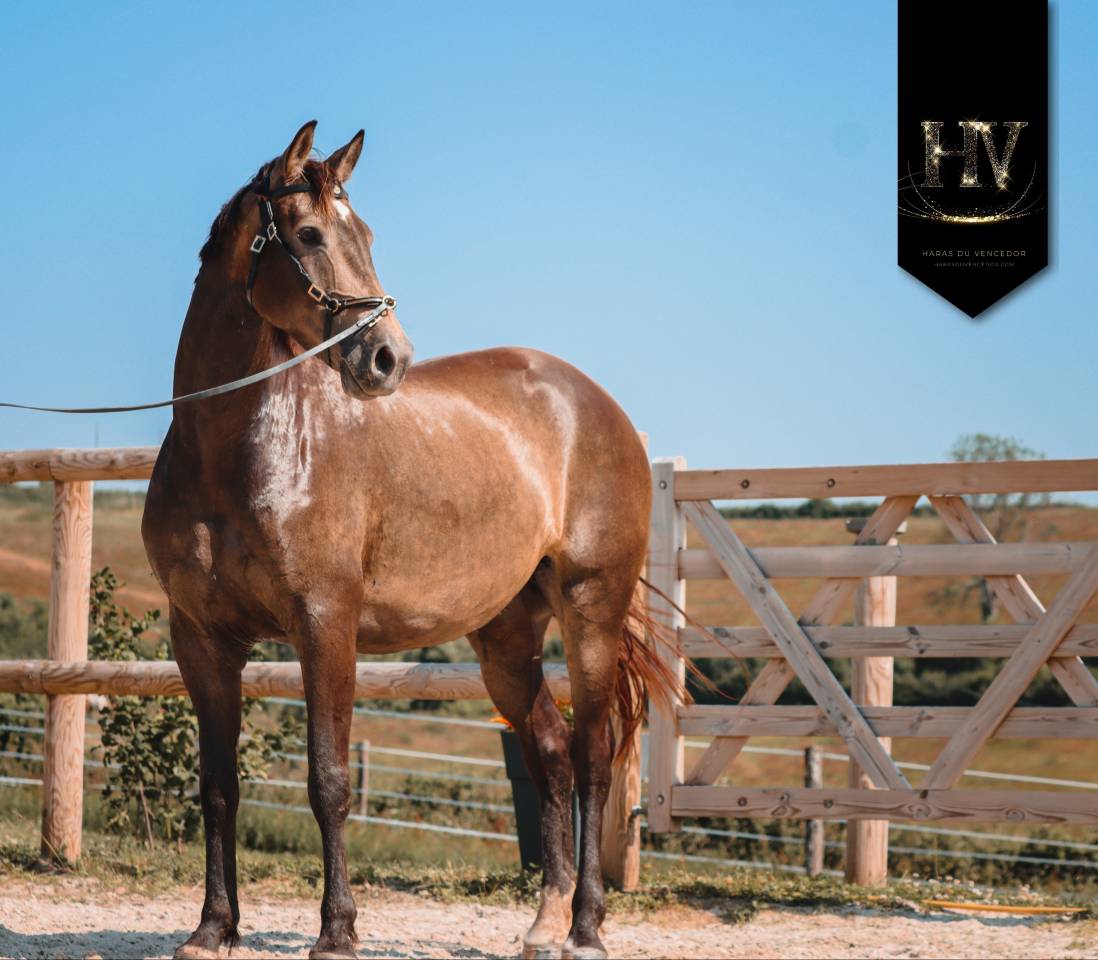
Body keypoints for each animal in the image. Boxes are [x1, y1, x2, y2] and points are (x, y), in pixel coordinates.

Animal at [142, 120, 671, 960]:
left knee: (591, 759)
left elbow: (328, 780)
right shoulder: (201, 637)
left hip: (592, 611)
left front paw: (337, 930)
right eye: (310, 235)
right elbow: (218, 784)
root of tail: (597, 403)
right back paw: (545, 920)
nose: (388, 357)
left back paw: (586, 925)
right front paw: (213, 928)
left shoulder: (325, 625)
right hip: (505, 638)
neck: (235, 451)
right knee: (551, 753)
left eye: (366, 235)